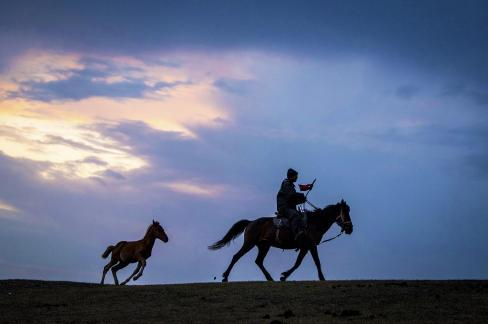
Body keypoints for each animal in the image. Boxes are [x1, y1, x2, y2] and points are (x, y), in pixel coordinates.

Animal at [208, 199, 352, 282]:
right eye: (345, 212)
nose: (350, 228)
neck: (314, 223)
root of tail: (251, 222)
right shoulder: (310, 246)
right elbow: (314, 262)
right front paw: (322, 278)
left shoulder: (306, 247)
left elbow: (299, 263)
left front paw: (284, 276)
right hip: (250, 244)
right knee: (236, 256)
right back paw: (225, 277)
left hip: (264, 246)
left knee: (258, 261)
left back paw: (270, 278)